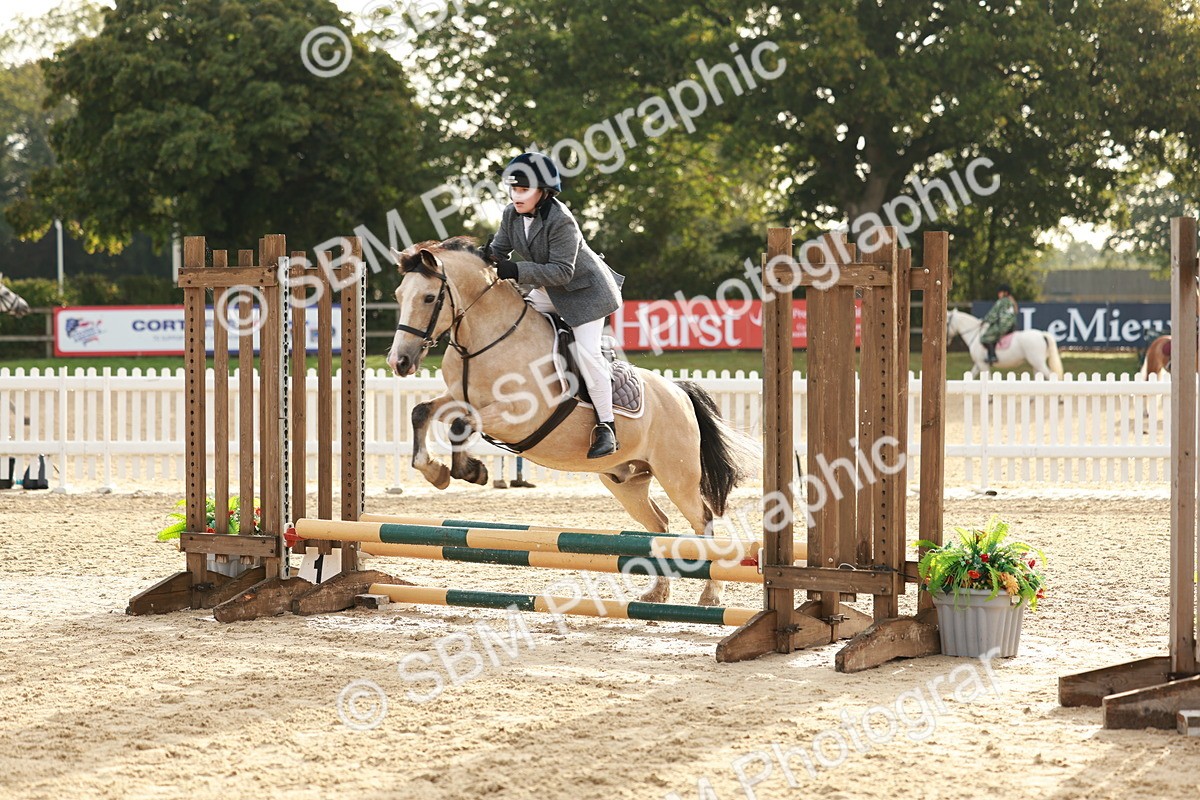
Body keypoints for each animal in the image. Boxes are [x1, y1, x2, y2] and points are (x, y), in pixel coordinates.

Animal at [385, 237, 758, 607]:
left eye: (429, 298)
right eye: (399, 295)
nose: (399, 362)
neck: (486, 339)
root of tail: (679, 392)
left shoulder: (520, 415)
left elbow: (460, 425)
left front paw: (470, 470)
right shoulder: (458, 397)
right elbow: (423, 412)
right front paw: (437, 471)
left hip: (677, 476)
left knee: (703, 521)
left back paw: (710, 595)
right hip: (626, 482)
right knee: (660, 526)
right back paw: (657, 593)